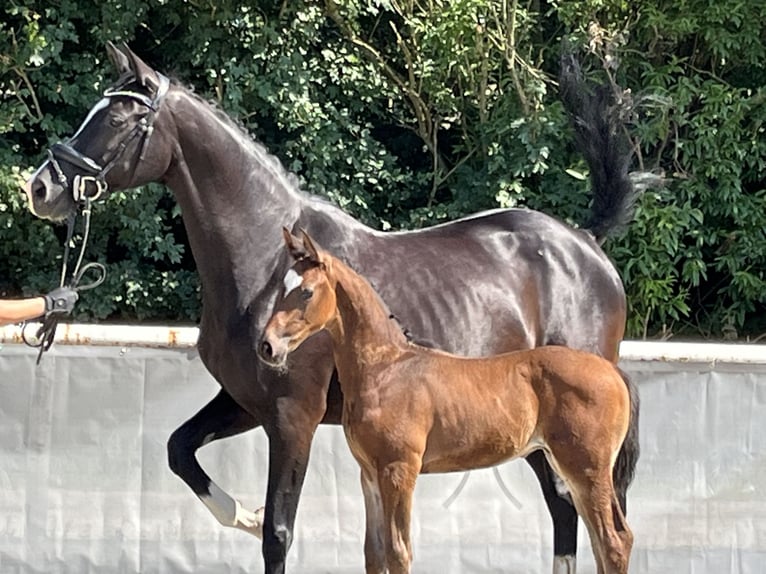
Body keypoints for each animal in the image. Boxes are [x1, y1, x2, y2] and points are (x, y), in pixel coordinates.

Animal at [260, 231, 640, 574]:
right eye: (280, 289)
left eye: (306, 292)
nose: (267, 346)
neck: (386, 367)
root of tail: (612, 371)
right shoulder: (369, 473)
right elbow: (374, 554)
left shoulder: (399, 470)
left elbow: (398, 553)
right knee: (606, 539)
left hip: (587, 468)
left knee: (613, 541)